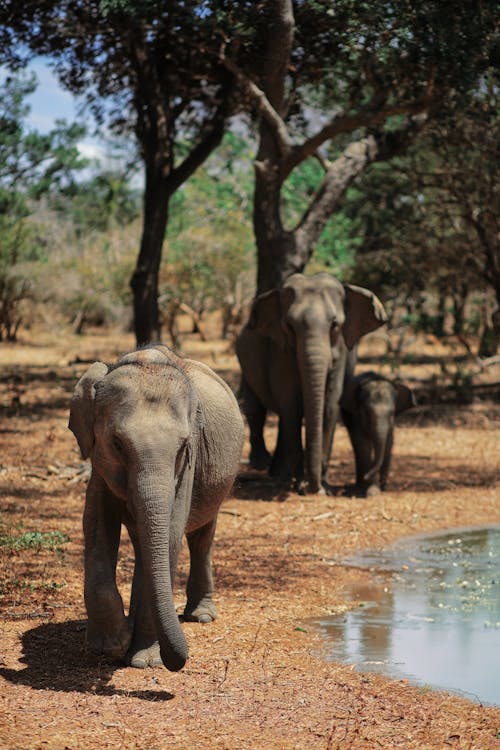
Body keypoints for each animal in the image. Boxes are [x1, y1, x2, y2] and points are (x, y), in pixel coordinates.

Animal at [69, 348, 244, 676]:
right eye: (117, 443)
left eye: (183, 446)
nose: (180, 661)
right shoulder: (99, 464)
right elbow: (96, 522)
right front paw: (111, 645)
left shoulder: (188, 465)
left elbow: (172, 533)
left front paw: (144, 661)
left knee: (201, 538)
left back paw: (201, 616)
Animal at [234, 274, 386, 496]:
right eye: (289, 326)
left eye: (335, 325)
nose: (311, 487)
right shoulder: (280, 349)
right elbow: (291, 404)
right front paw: (299, 484)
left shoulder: (341, 351)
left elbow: (330, 404)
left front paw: (324, 488)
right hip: (245, 363)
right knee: (255, 408)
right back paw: (267, 467)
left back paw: (279, 474)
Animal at [340, 372, 418, 500]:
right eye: (367, 413)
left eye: (392, 413)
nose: (366, 476)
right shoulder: (355, 417)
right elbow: (363, 445)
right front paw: (367, 489)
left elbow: (388, 442)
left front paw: (376, 489)